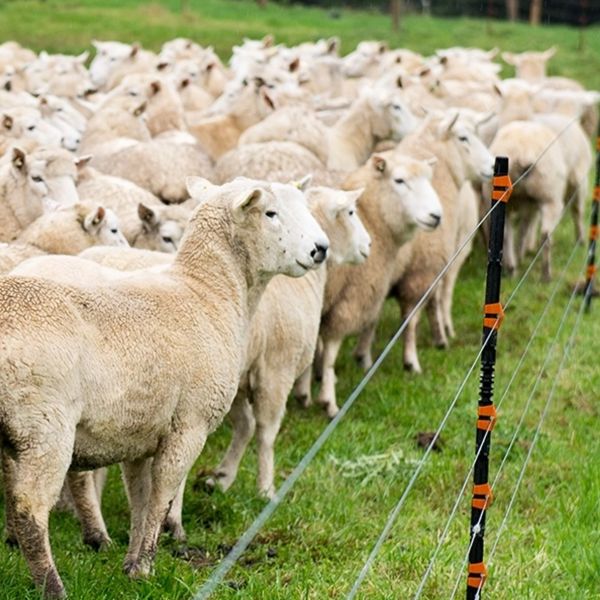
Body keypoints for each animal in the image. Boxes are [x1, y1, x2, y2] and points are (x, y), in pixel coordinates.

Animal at [0, 176, 328, 596]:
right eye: (271, 213)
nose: (321, 249)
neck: (207, 292)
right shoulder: (190, 425)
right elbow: (162, 495)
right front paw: (145, 566)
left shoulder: (139, 431)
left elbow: (140, 499)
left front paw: (130, 562)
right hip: (44, 428)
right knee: (29, 508)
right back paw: (53, 586)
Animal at [318, 152, 440, 418]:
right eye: (399, 180)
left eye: (429, 178)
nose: (437, 216)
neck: (373, 219)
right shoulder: (351, 297)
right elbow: (330, 348)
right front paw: (328, 400)